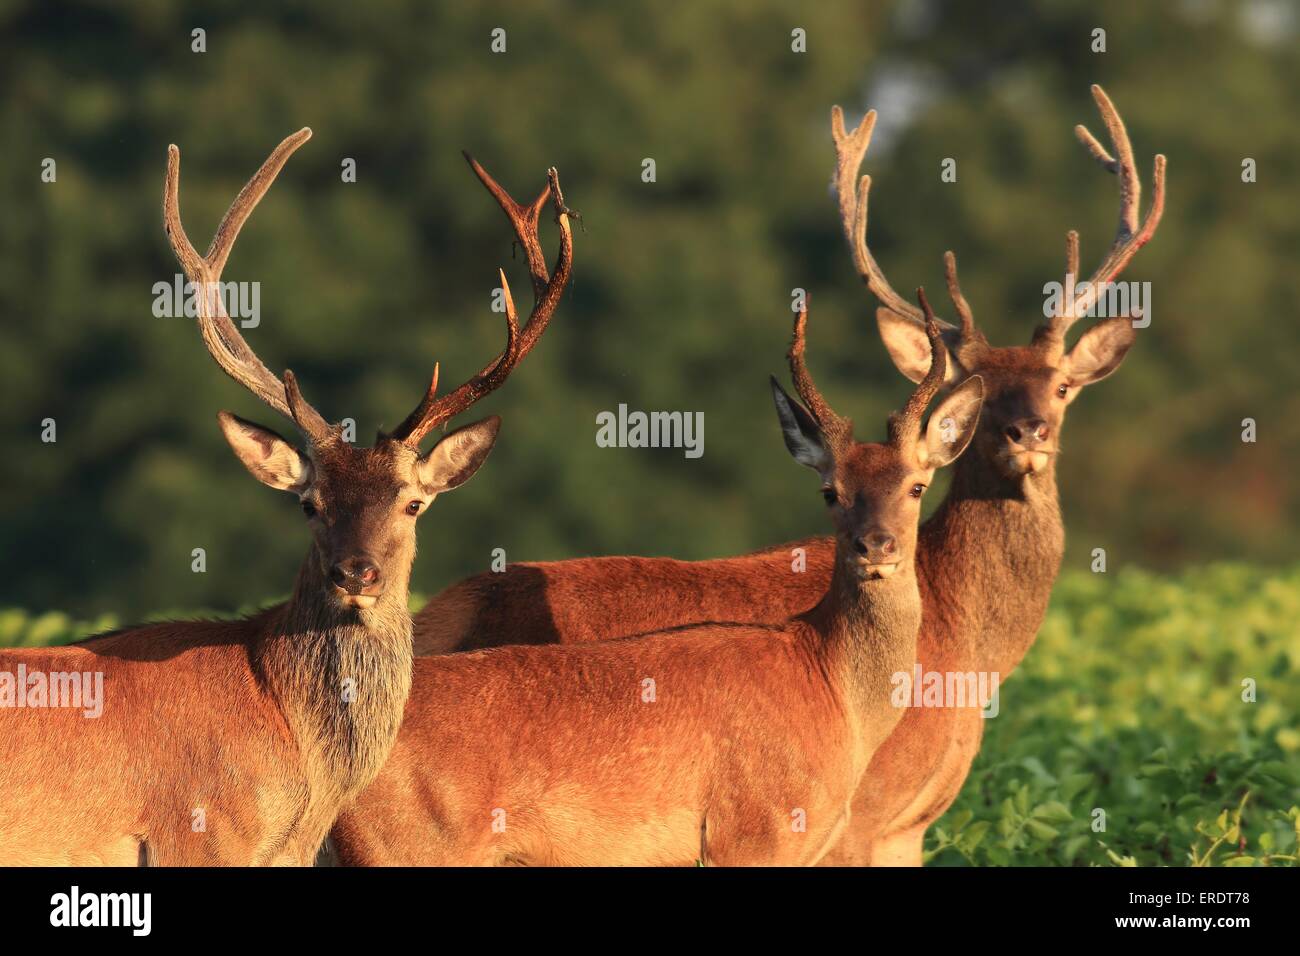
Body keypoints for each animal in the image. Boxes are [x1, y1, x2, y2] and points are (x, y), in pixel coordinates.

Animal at [400, 87, 1164, 868]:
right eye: (974, 388)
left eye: (1063, 385)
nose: (1026, 434)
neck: (967, 644)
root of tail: (436, 615)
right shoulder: (869, 815)